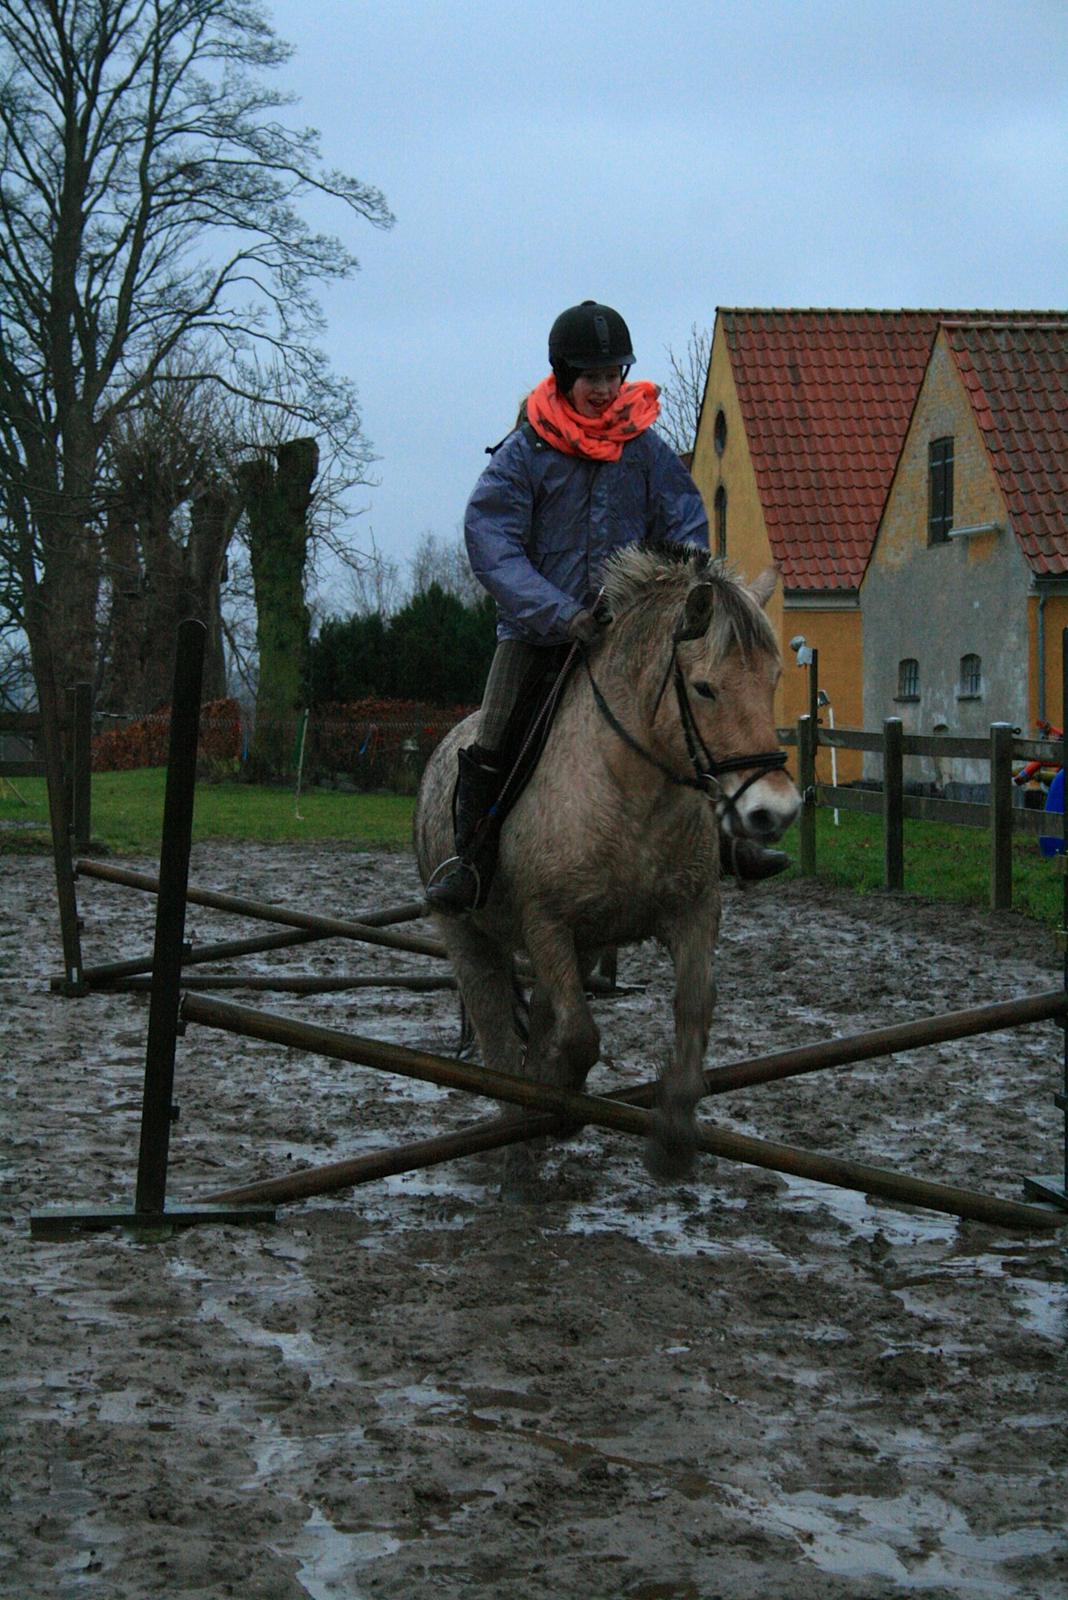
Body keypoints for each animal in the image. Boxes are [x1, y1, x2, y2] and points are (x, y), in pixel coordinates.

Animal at [412, 544, 796, 1184]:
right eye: (704, 688)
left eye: (773, 681)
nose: (775, 811)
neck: (633, 791)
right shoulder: (547, 923)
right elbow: (580, 1036)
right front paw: (561, 1107)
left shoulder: (692, 913)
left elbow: (694, 1009)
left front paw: (671, 1136)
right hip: (469, 935)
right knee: (497, 1035)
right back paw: (518, 1152)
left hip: (583, 946)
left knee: (540, 1019)